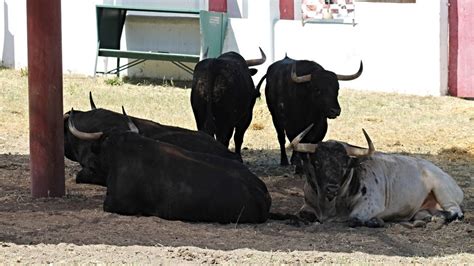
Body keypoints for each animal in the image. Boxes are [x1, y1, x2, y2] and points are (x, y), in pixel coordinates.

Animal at [290, 124, 464, 227]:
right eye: (317, 163)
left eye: (344, 165)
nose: (332, 188)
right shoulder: (307, 205)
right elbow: (301, 215)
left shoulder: (370, 205)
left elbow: (353, 219)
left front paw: (376, 221)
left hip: (443, 191)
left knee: (456, 211)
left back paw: (440, 217)